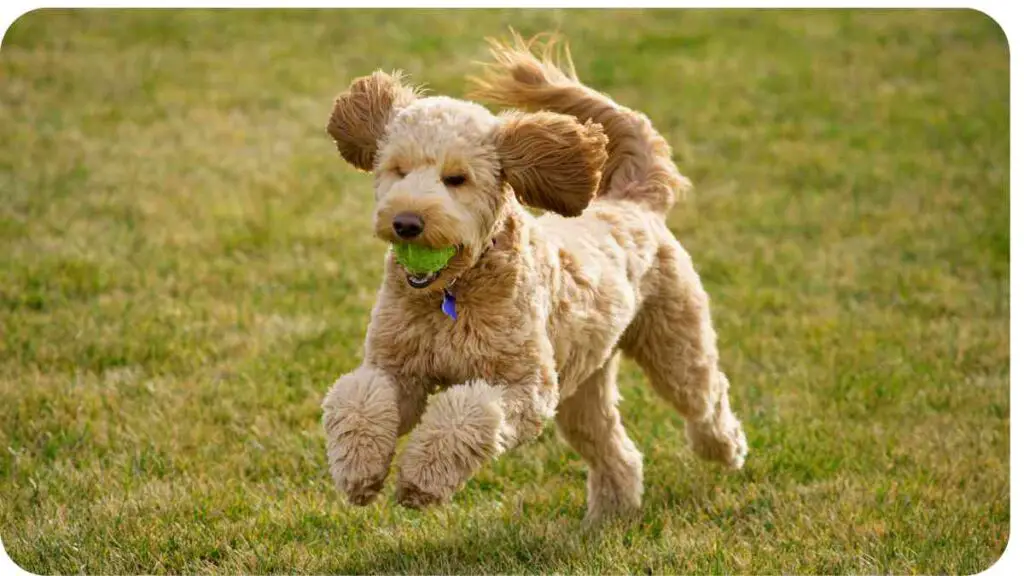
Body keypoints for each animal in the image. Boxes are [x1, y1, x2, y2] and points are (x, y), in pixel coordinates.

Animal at [323, 32, 749, 524]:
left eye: (457, 178)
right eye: (397, 169)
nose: (406, 223)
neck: (453, 294)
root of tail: (635, 202)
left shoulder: (526, 386)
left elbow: (469, 414)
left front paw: (421, 481)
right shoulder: (397, 369)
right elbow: (358, 399)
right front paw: (359, 472)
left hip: (675, 345)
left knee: (706, 397)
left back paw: (726, 449)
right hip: (583, 386)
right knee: (614, 449)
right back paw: (609, 518)